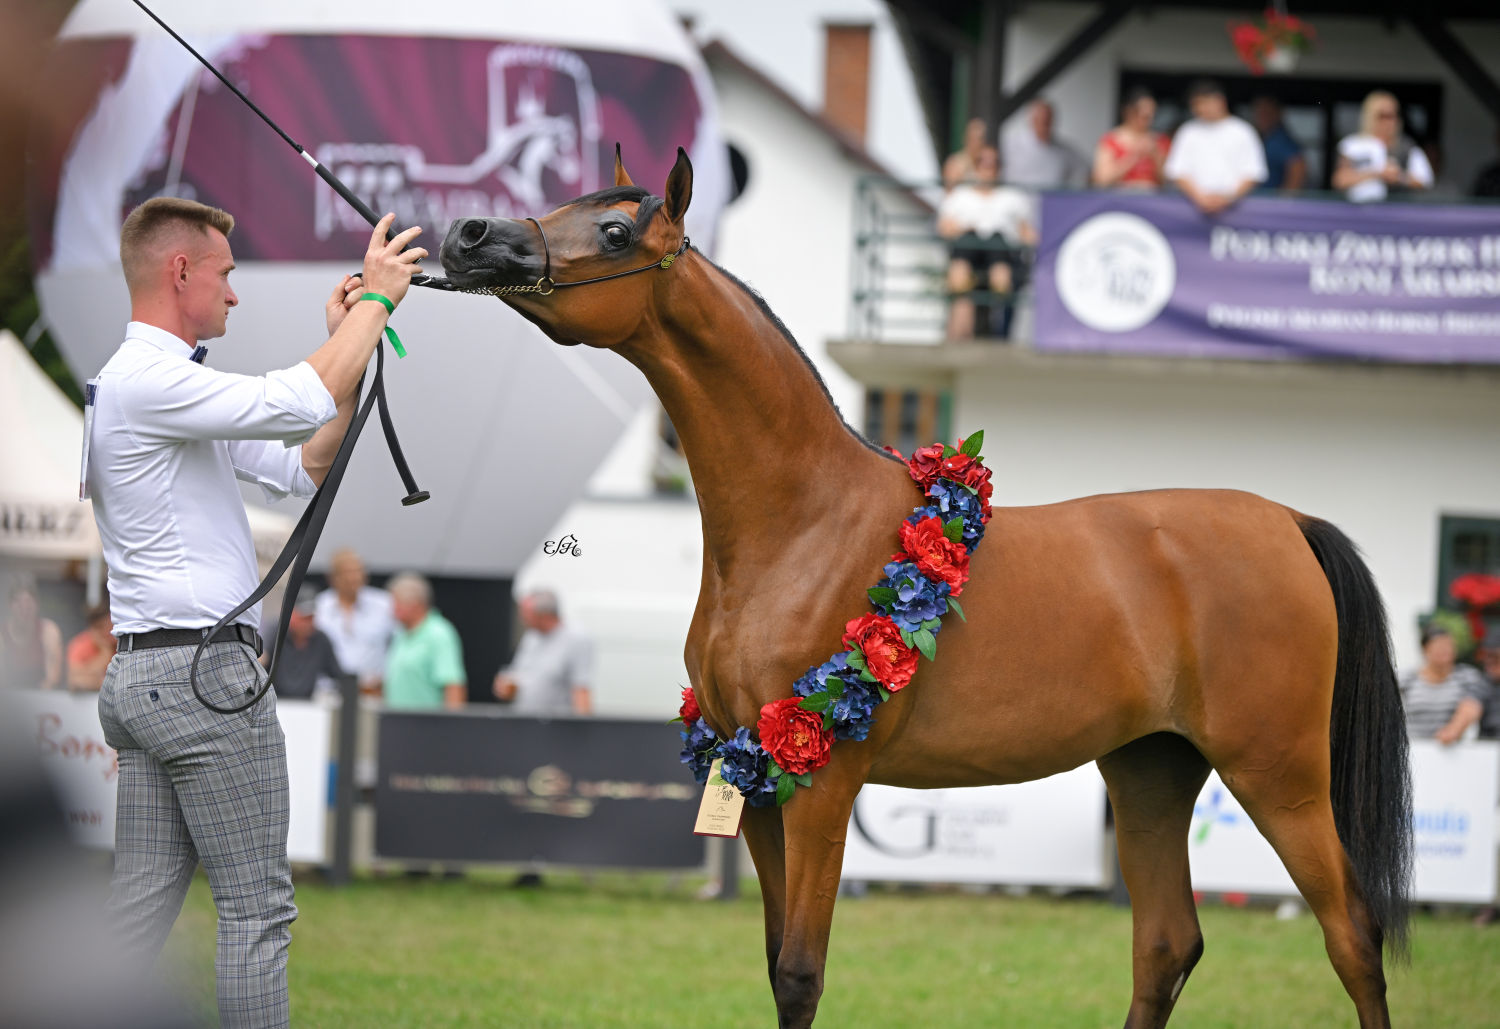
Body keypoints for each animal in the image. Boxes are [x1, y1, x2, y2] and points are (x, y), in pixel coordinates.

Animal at [438, 147, 1410, 1029]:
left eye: (613, 229)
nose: (467, 235)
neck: (803, 520)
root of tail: (1288, 521)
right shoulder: (753, 787)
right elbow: (774, 965)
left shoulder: (821, 786)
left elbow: (799, 973)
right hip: (1152, 770)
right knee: (1167, 943)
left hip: (1281, 777)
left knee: (1352, 936)